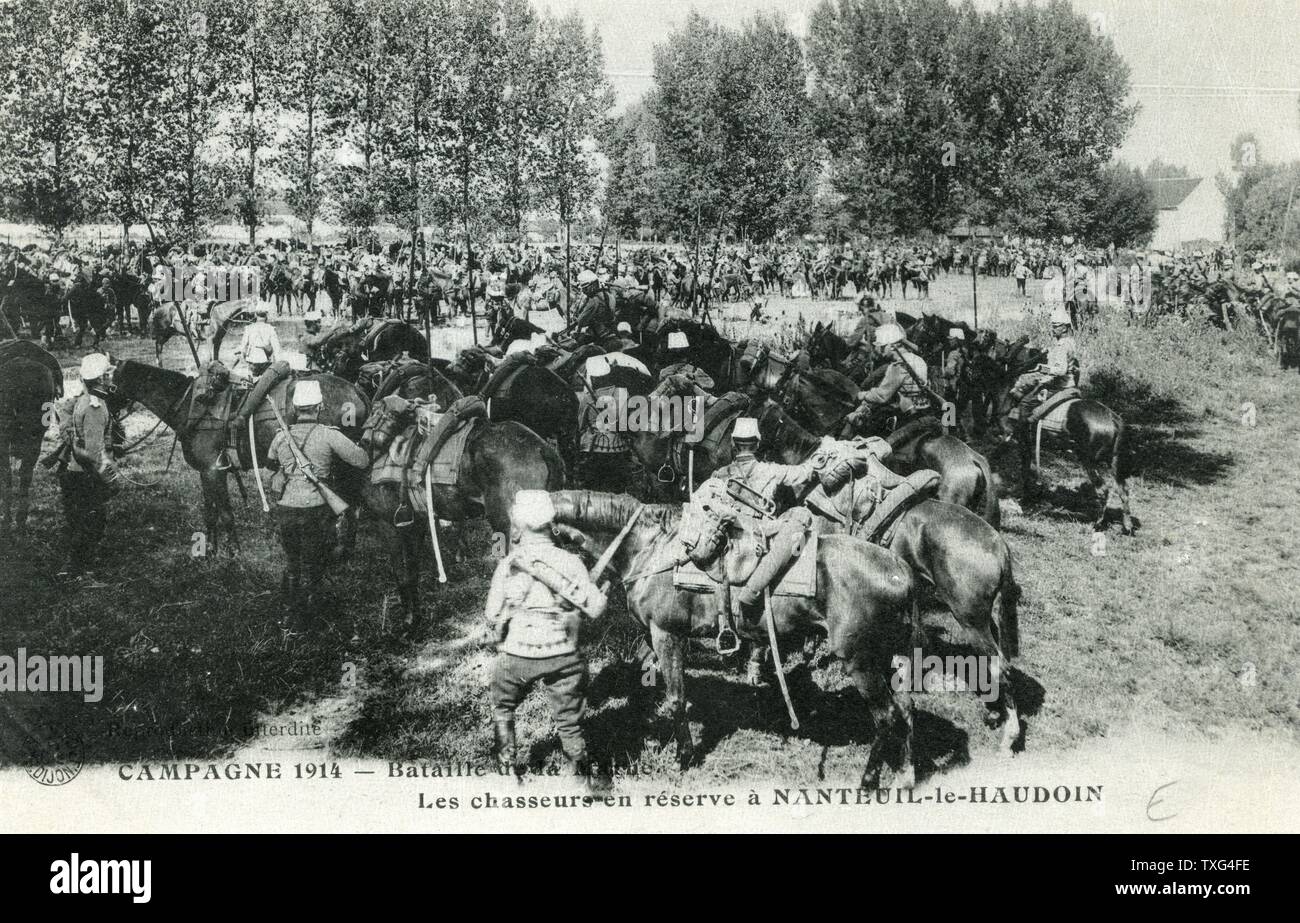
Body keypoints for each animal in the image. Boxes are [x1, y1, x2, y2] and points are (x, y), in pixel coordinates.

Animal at [548, 491, 925, 790]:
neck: (652, 548)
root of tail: (901, 572)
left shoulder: (667, 634)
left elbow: (676, 698)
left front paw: (683, 757)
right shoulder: (650, 635)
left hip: (860, 661)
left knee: (886, 717)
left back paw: (868, 781)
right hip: (891, 657)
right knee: (905, 710)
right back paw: (905, 776)